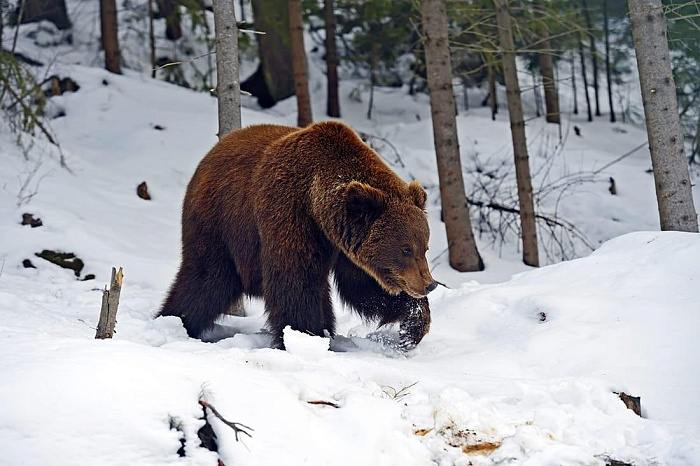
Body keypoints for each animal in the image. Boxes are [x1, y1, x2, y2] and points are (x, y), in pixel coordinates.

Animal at [160, 121, 438, 350]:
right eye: (405, 249)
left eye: (424, 247)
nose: (429, 284)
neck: (317, 204)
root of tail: (210, 154)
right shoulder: (290, 213)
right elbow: (295, 280)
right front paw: (306, 336)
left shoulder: (344, 242)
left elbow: (362, 286)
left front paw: (411, 327)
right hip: (220, 224)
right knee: (206, 281)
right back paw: (176, 320)